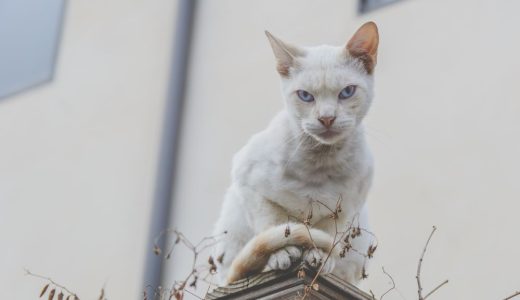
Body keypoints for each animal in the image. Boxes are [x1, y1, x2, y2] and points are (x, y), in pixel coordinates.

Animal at [213, 21, 380, 286]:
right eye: (305, 96)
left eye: (347, 92)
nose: (326, 118)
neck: (319, 165)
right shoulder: (250, 186)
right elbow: (274, 226)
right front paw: (281, 254)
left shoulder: (346, 209)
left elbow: (326, 236)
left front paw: (319, 257)